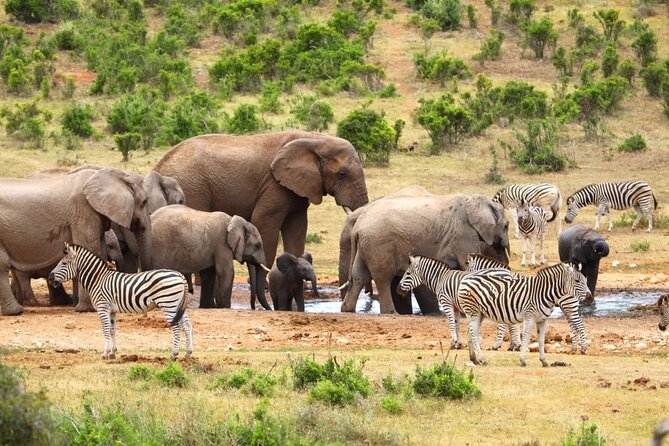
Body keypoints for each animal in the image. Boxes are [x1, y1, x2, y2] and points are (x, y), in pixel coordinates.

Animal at [154, 131, 369, 310]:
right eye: (342, 175)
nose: (368, 292)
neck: (315, 139)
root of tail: (160, 165)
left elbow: (297, 229)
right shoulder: (275, 185)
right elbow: (265, 223)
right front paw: (265, 285)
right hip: (193, 187)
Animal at [339, 188, 510, 314]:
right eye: (507, 226)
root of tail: (358, 226)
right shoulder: (463, 235)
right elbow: (467, 267)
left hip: (366, 245)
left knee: (359, 276)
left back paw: (347, 310)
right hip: (379, 244)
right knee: (383, 277)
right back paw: (391, 313)